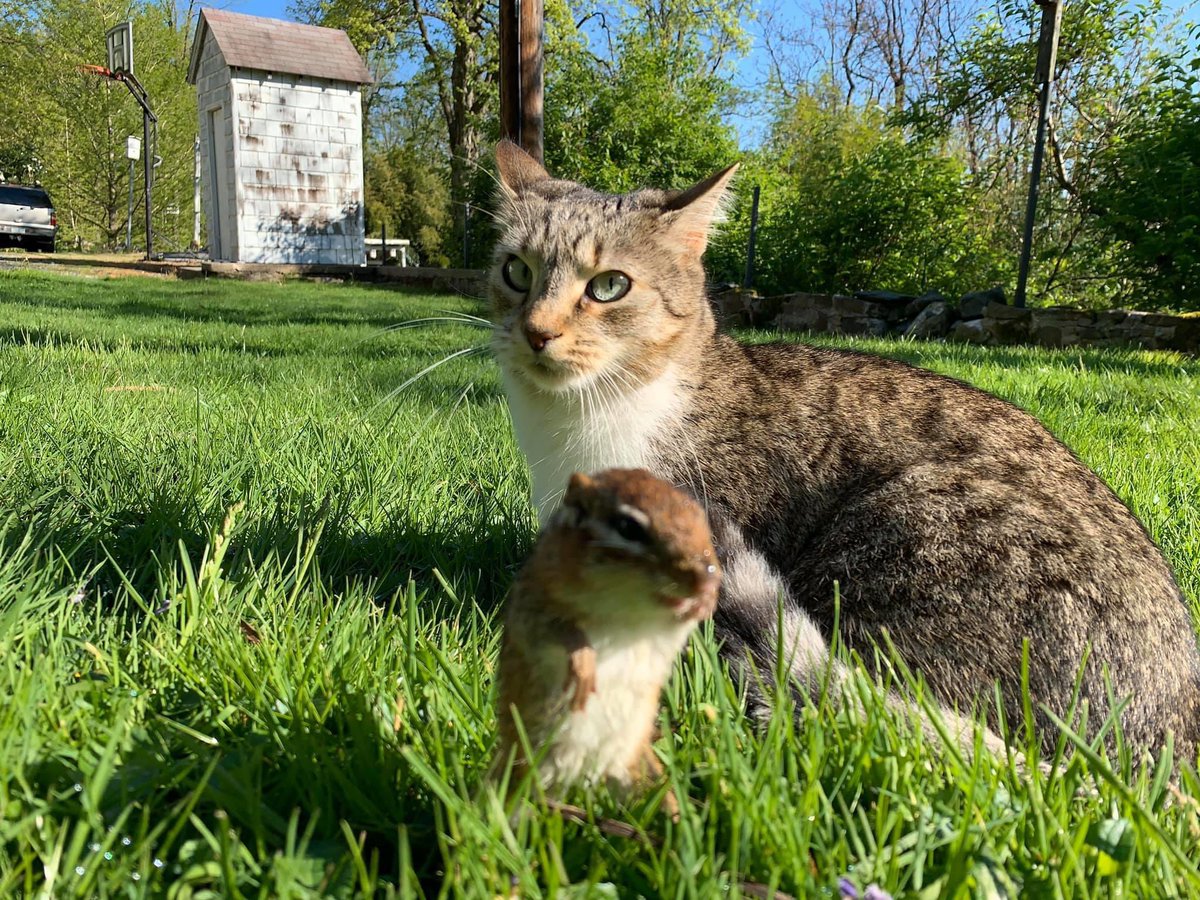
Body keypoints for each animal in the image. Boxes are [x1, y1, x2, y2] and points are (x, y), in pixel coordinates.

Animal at [495, 468, 720, 812]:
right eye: (628, 527)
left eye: (699, 516)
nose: (707, 575)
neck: (630, 613)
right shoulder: (533, 605)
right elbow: (558, 632)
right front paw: (584, 664)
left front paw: (704, 601)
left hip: (637, 768)